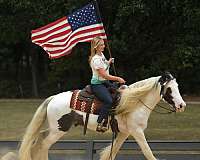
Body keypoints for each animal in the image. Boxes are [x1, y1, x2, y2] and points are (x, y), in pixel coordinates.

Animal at [18, 72, 187, 160]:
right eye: (169, 89)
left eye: (177, 87)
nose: (182, 105)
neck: (133, 102)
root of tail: (52, 98)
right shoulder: (137, 131)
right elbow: (148, 152)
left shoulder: (124, 133)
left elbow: (112, 152)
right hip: (59, 129)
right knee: (43, 144)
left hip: (56, 128)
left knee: (39, 138)